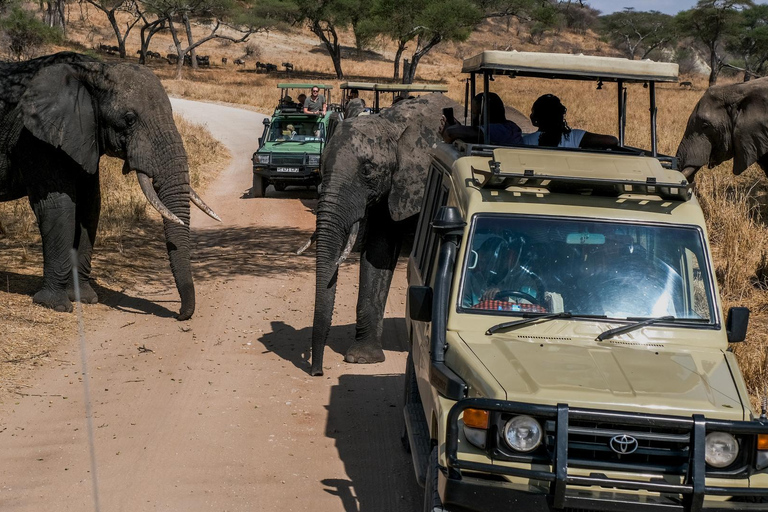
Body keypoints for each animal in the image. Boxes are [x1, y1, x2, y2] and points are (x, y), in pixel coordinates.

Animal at [0, 51, 219, 316]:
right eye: (129, 119)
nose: (180, 315)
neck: (91, 68)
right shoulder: (35, 138)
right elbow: (57, 207)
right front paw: (55, 304)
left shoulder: (83, 137)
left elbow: (90, 205)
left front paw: (85, 298)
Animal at [306, 93, 460, 376]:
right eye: (320, 167)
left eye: (367, 170)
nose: (317, 372)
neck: (391, 124)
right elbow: (379, 251)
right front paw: (362, 359)